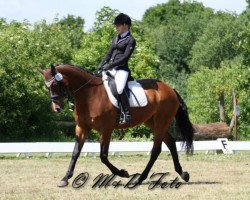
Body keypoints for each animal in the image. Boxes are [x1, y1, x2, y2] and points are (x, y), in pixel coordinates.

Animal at [38, 64, 194, 188]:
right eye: (46, 87)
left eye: (55, 85)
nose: (57, 108)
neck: (89, 95)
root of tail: (170, 88)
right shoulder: (82, 128)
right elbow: (75, 152)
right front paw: (65, 178)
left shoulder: (106, 130)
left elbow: (103, 156)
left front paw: (123, 173)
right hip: (153, 122)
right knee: (171, 142)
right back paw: (183, 174)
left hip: (162, 121)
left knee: (156, 149)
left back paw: (139, 179)